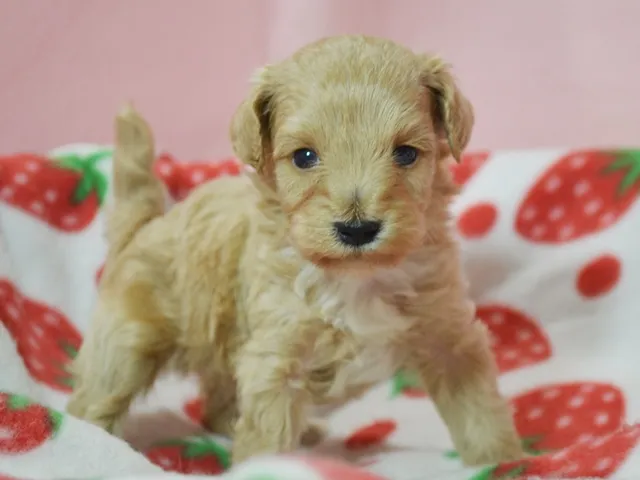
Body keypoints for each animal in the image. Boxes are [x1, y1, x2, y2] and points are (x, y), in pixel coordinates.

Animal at [67, 35, 524, 466]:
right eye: (304, 157)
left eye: (406, 153)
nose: (357, 229)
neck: (356, 276)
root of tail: (147, 224)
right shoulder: (276, 360)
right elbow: (268, 436)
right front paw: (268, 466)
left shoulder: (450, 337)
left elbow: (480, 411)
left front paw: (505, 460)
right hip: (125, 344)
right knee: (93, 400)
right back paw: (92, 440)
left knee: (217, 403)